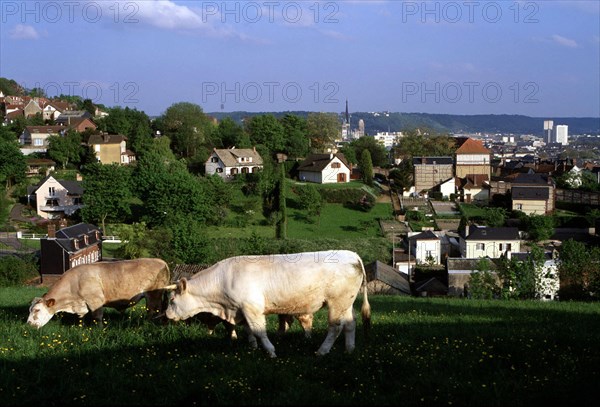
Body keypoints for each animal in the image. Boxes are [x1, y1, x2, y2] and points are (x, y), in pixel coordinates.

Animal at [27, 260, 171, 330]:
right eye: (30, 309)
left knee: (153, 311)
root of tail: (160, 261)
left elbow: (97, 317)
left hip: (154, 295)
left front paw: (98, 331)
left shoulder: (96, 301)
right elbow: (82, 318)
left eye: (37, 310)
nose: (28, 324)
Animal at [164, 250, 370, 358]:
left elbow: (259, 330)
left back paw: (322, 351)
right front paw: (253, 346)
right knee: (351, 324)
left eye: (172, 299)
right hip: (347, 303)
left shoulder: (252, 308)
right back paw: (349, 349)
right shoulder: (241, 310)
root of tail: (351, 255)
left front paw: (270, 351)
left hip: (337, 303)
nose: (166, 315)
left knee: (335, 327)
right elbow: (248, 330)